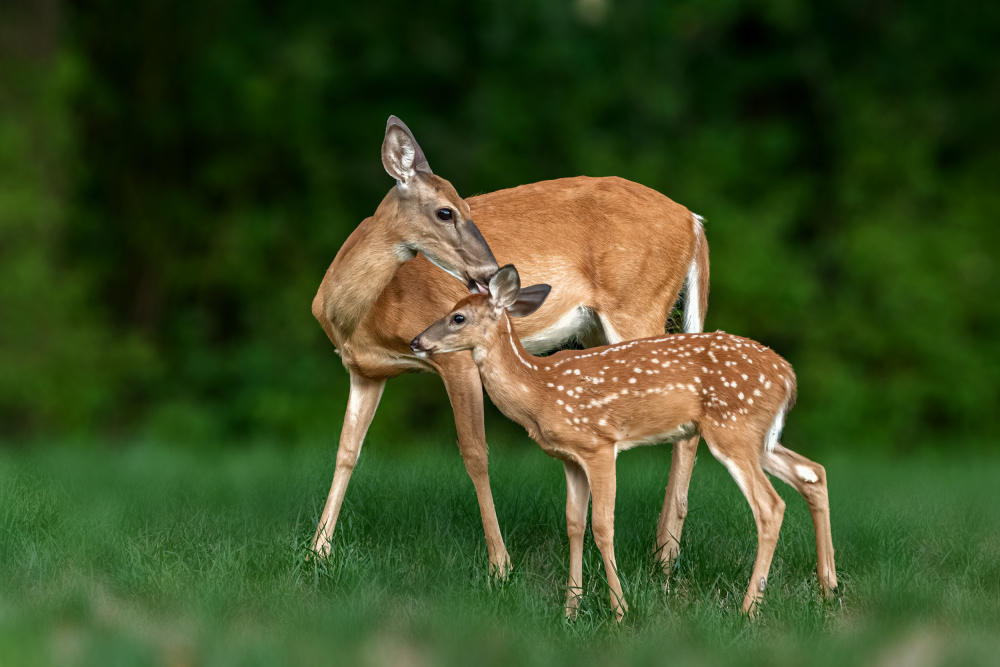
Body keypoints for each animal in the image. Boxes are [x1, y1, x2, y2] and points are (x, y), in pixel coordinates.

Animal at [312, 116, 712, 580]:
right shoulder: (365, 371)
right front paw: (317, 551)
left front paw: (500, 565)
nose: (491, 271)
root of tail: (695, 223)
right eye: (446, 210)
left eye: (467, 206)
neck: (361, 315)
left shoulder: (457, 359)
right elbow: (346, 451)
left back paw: (664, 556)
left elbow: (475, 454)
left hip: (636, 307)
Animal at [406, 266, 836, 620]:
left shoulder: (599, 443)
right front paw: (570, 610)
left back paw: (749, 609)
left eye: (458, 317)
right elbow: (574, 524)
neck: (540, 390)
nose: (415, 341)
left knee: (771, 505)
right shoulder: (570, 458)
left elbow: (602, 525)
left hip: (733, 428)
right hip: (758, 437)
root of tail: (789, 377)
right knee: (813, 472)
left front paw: (619, 611)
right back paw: (828, 589)